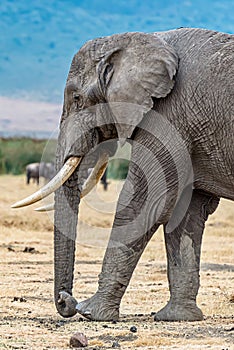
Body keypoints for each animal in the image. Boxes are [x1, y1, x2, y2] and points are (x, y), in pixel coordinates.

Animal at [13, 28, 234, 322]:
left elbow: (145, 201)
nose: (65, 300)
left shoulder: (170, 116)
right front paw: (177, 317)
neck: (141, 40)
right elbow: (186, 214)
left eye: (76, 99)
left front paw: (91, 312)